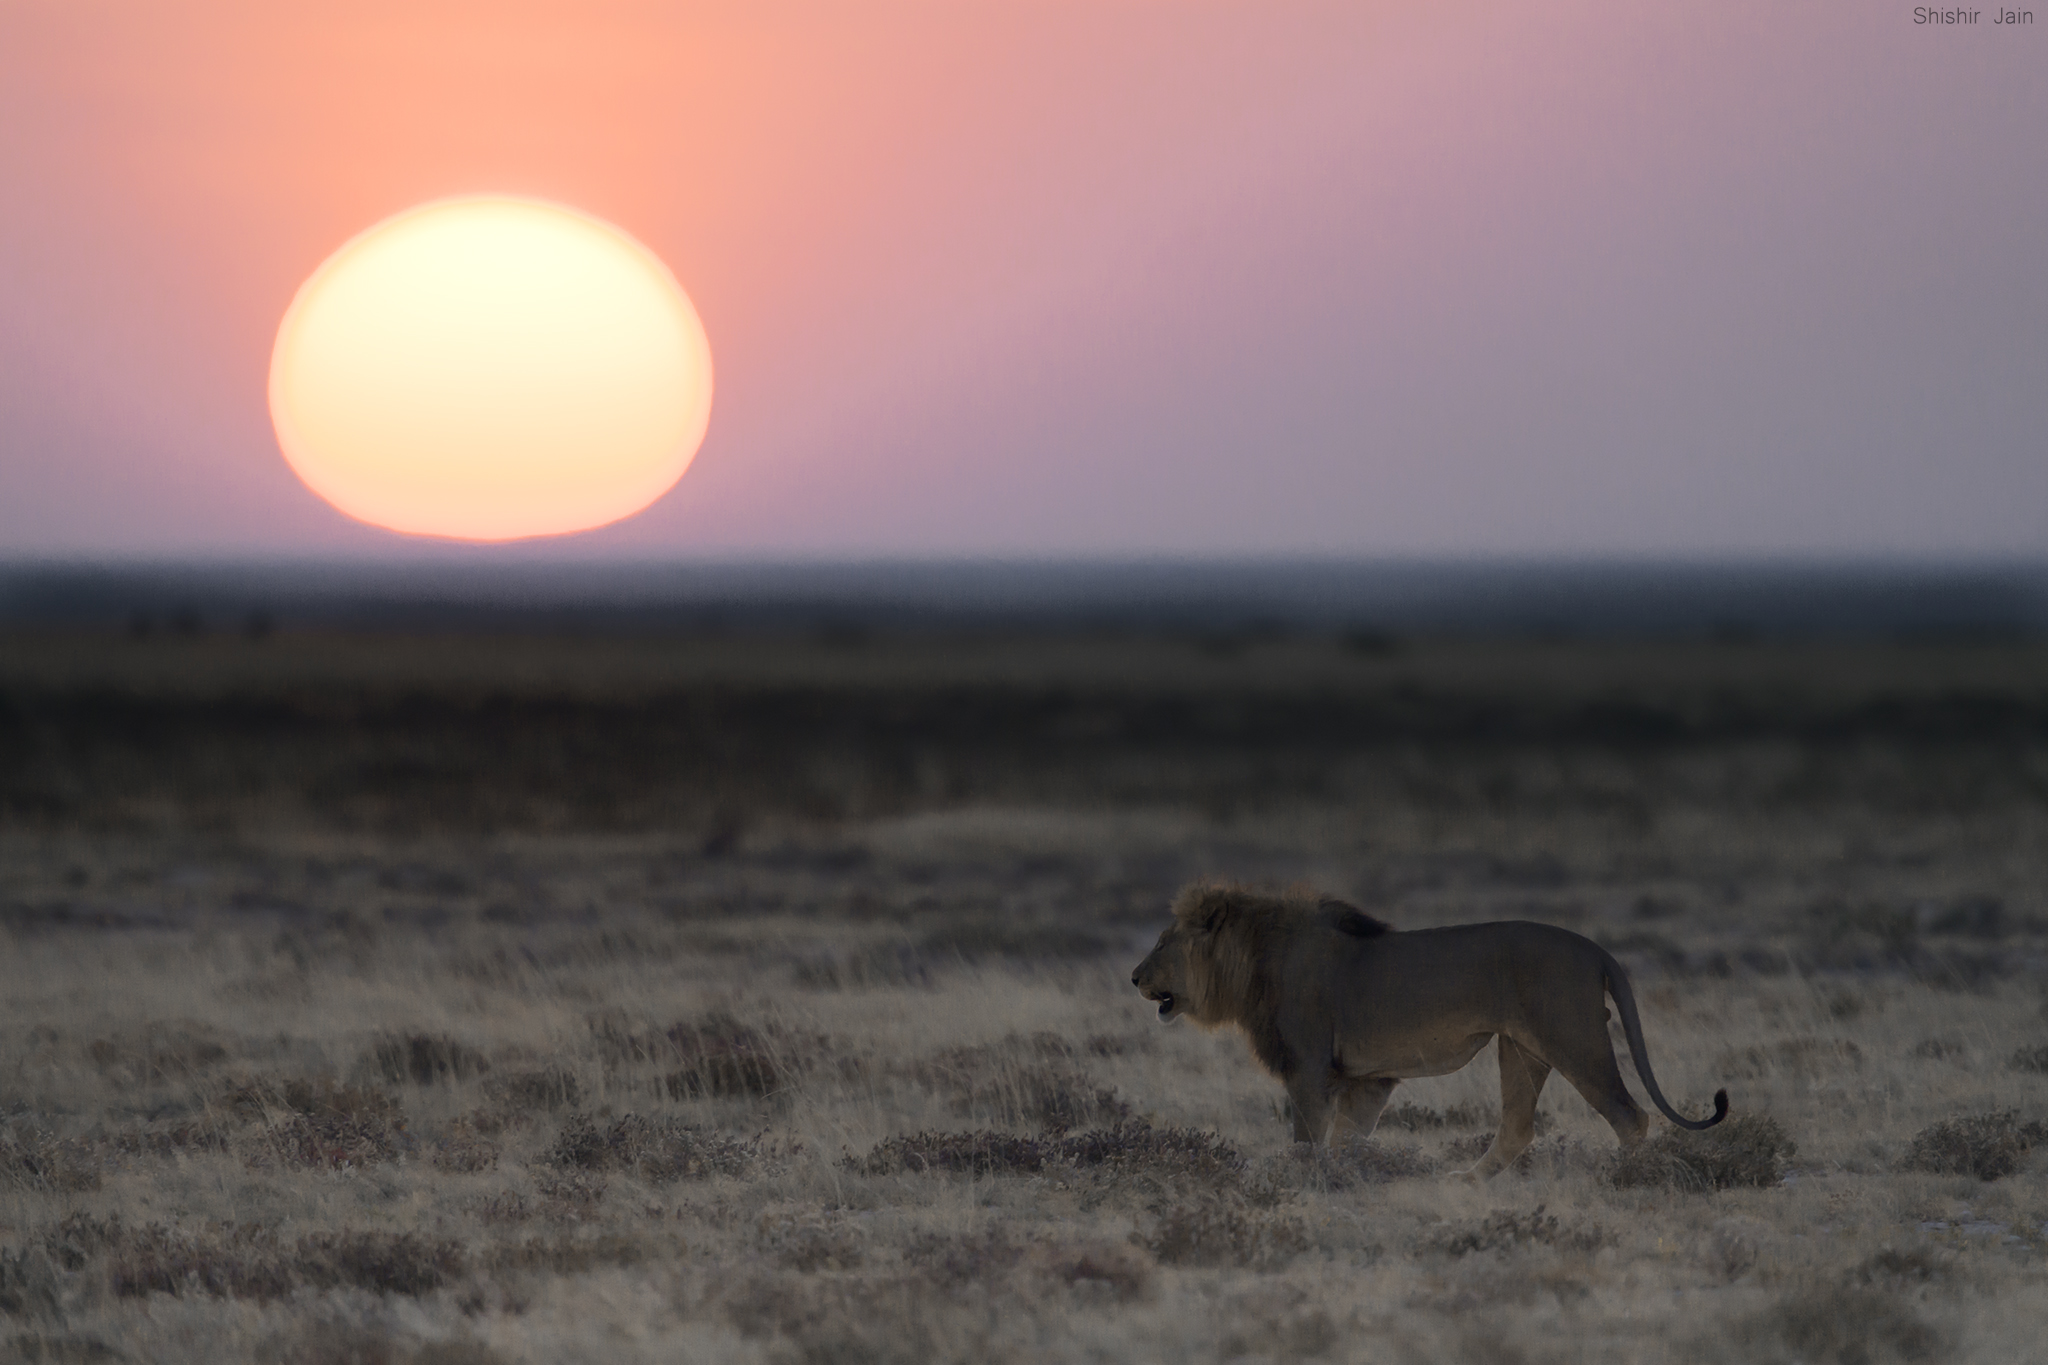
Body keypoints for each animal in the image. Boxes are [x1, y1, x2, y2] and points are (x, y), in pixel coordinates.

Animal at [1138, 879, 1728, 1178]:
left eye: (1164, 942)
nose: (1134, 976)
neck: (1254, 964)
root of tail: (1594, 948)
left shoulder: (1307, 1070)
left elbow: (1307, 1143)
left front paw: (1300, 1182)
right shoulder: (1368, 1080)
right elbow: (1347, 1142)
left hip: (1574, 1038)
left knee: (1630, 1115)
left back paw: (1623, 1178)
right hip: (1521, 1049)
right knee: (1518, 1128)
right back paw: (1463, 1184)